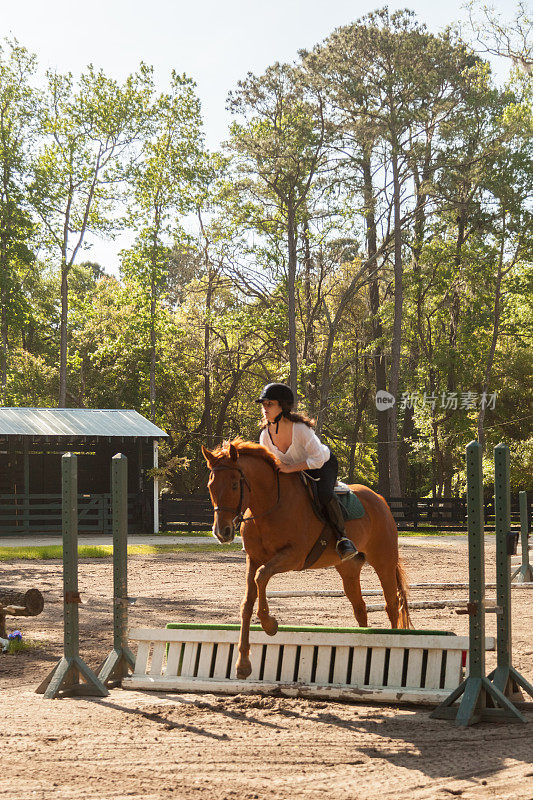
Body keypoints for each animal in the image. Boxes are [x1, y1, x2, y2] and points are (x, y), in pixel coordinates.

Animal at [202, 438, 410, 680]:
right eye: (210, 486)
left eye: (235, 485)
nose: (222, 532)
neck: (269, 506)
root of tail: (380, 499)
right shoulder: (253, 560)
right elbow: (247, 602)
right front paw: (243, 664)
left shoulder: (294, 556)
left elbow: (262, 577)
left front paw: (270, 624)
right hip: (348, 568)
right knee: (360, 607)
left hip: (383, 561)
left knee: (391, 604)